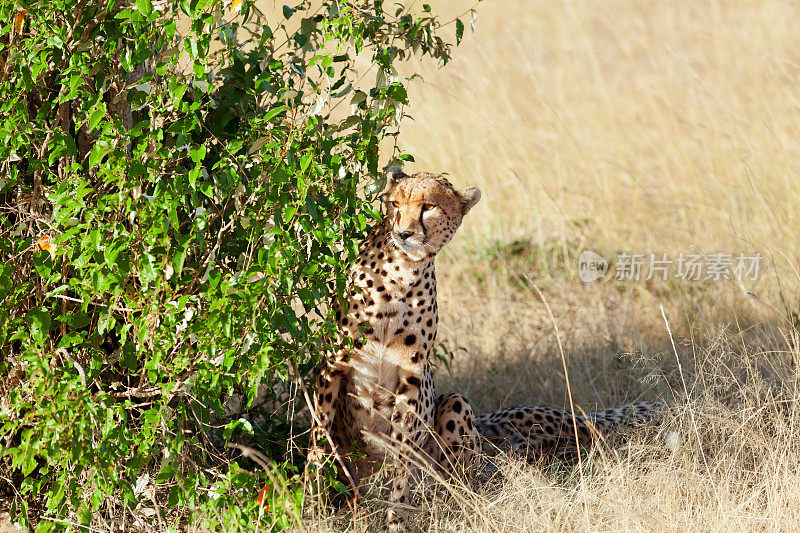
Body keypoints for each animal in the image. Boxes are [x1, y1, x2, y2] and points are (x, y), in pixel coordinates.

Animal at [306, 168, 664, 524]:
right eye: (394, 203)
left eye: (428, 207)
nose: (404, 233)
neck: (401, 271)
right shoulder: (334, 364)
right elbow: (318, 438)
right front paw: (311, 504)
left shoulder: (412, 377)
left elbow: (401, 456)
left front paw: (397, 516)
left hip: (455, 404)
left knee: (461, 484)